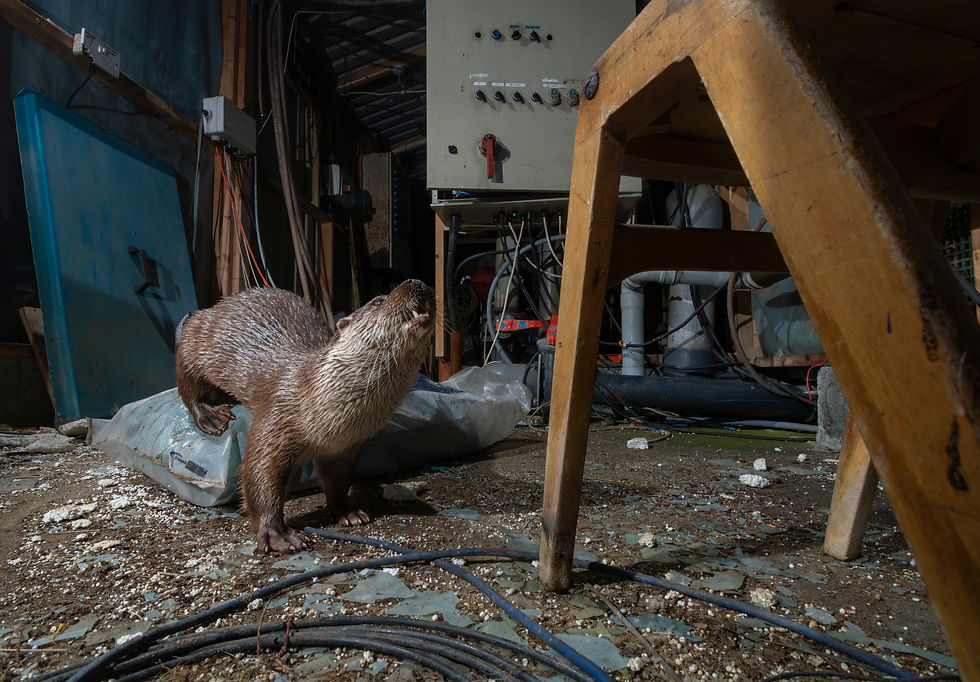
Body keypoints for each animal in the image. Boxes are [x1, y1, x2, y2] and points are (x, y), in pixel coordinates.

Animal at [175, 279, 435, 553]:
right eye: (378, 300)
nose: (416, 282)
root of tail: (213, 307)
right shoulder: (277, 419)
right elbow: (259, 477)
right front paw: (278, 534)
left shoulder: (345, 447)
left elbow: (338, 481)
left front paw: (346, 511)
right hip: (197, 343)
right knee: (187, 382)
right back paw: (210, 416)